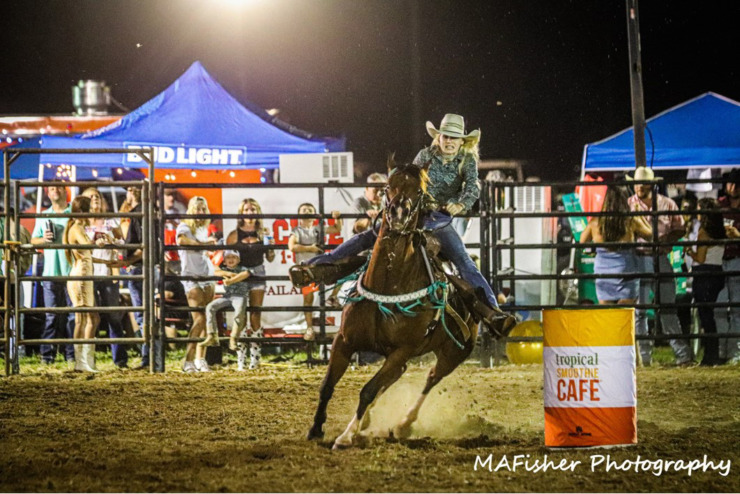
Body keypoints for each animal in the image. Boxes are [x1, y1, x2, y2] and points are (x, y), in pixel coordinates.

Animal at [304, 162, 482, 448]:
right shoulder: (344, 341)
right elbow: (327, 385)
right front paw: (316, 429)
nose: (399, 212)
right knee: (397, 376)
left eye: (420, 190)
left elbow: (368, 390)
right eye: (387, 186)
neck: (388, 285)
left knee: (431, 378)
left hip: (455, 352)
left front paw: (345, 436)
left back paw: (403, 424)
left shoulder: (403, 350)